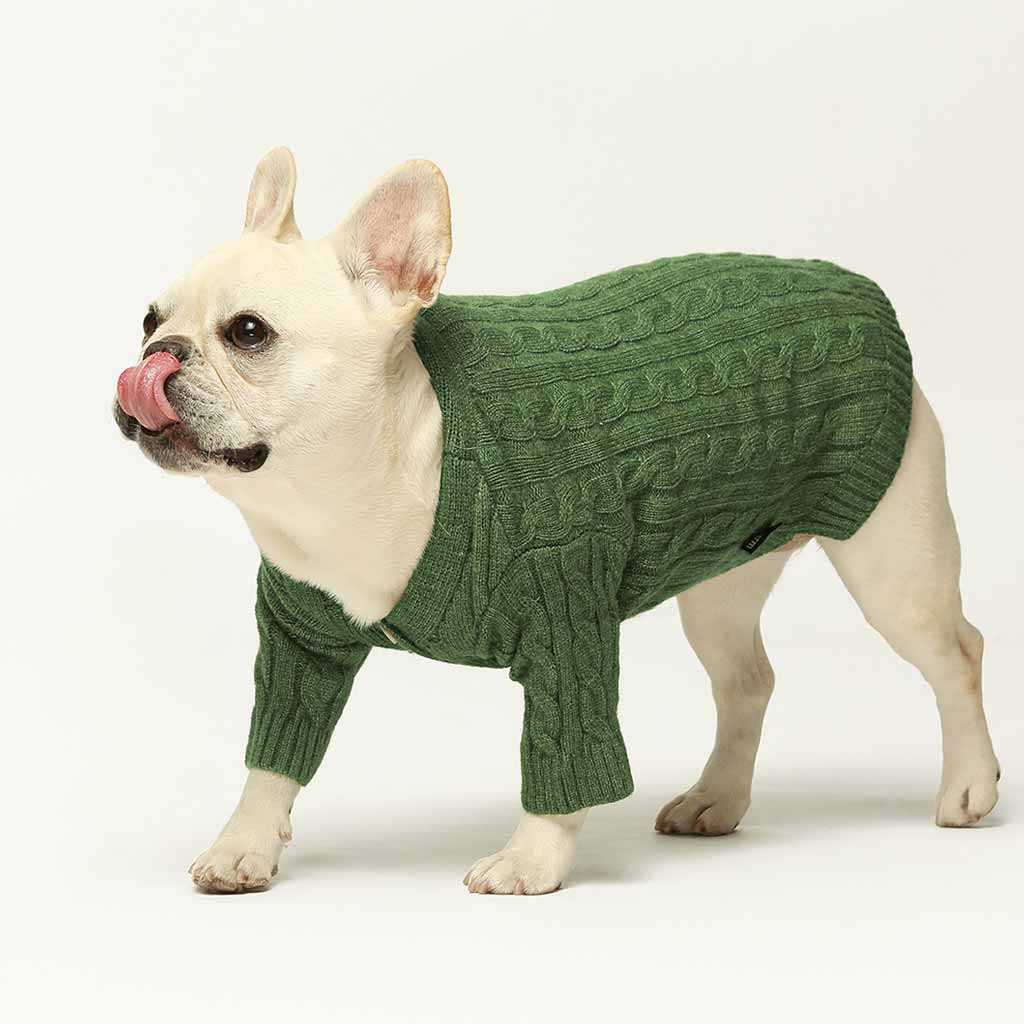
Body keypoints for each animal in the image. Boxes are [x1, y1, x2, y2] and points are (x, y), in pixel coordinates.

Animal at [114, 148, 1000, 895]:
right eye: (150, 318)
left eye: (249, 333)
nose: (158, 355)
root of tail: (858, 287)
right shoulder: (301, 638)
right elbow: (275, 749)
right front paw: (244, 843)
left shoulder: (564, 613)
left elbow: (567, 747)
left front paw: (532, 860)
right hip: (723, 576)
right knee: (746, 680)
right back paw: (716, 798)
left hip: (893, 559)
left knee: (955, 653)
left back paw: (969, 783)